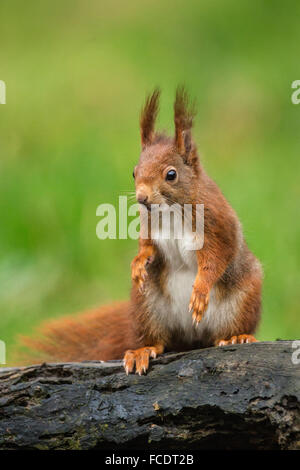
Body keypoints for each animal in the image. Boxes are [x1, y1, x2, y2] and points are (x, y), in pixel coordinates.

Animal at [22, 87, 262, 374]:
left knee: (227, 331)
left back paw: (237, 336)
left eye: (171, 174)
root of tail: (192, 338)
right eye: (134, 172)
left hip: (243, 298)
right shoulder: (148, 226)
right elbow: (147, 246)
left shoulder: (218, 224)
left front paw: (201, 290)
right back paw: (143, 350)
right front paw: (138, 262)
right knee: (159, 341)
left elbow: (216, 258)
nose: (141, 198)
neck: (171, 210)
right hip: (146, 305)